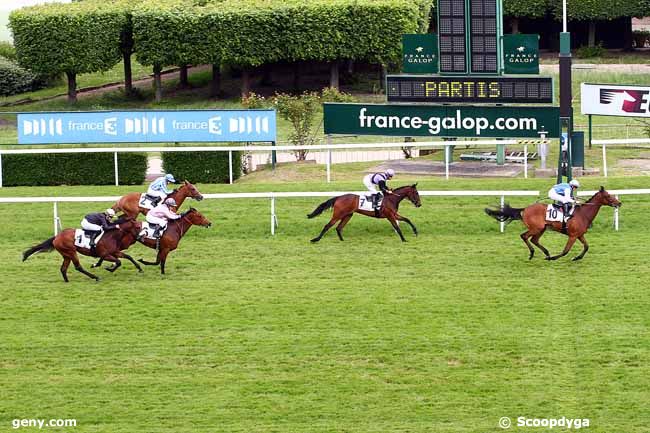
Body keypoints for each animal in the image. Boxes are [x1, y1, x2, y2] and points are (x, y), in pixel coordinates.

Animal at [484, 186, 620, 260]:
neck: (583, 213)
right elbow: (565, 251)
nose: (619, 203)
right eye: (608, 196)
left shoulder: (580, 234)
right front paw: (555, 258)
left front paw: (577, 258)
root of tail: (525, 209)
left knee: (534, 240)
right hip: (536, 228)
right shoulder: (573, 235)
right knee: (524, 236)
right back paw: (534, 254)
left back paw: (547, 253)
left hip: (542, 228)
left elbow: (586, 247)